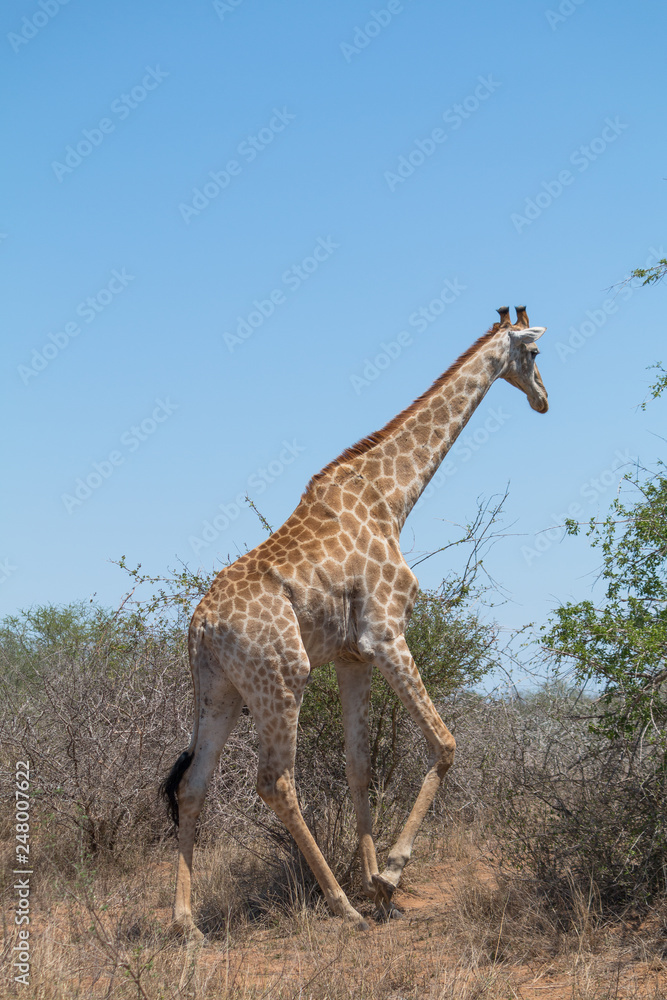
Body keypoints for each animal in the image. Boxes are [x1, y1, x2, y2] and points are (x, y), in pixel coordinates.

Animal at [162, 305, 548, 936]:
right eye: (534, 354)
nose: (543, 400)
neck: (393, 497)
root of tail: (199, 629)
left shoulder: (351, 655)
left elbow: (359, 764)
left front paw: (375, 884)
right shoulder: (387, 633)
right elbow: (444, 743)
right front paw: (387, 876)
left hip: (218, 690)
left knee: (194, 785)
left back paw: (187, 923)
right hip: (281, 677)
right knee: (275, 781)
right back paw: (340, 905)